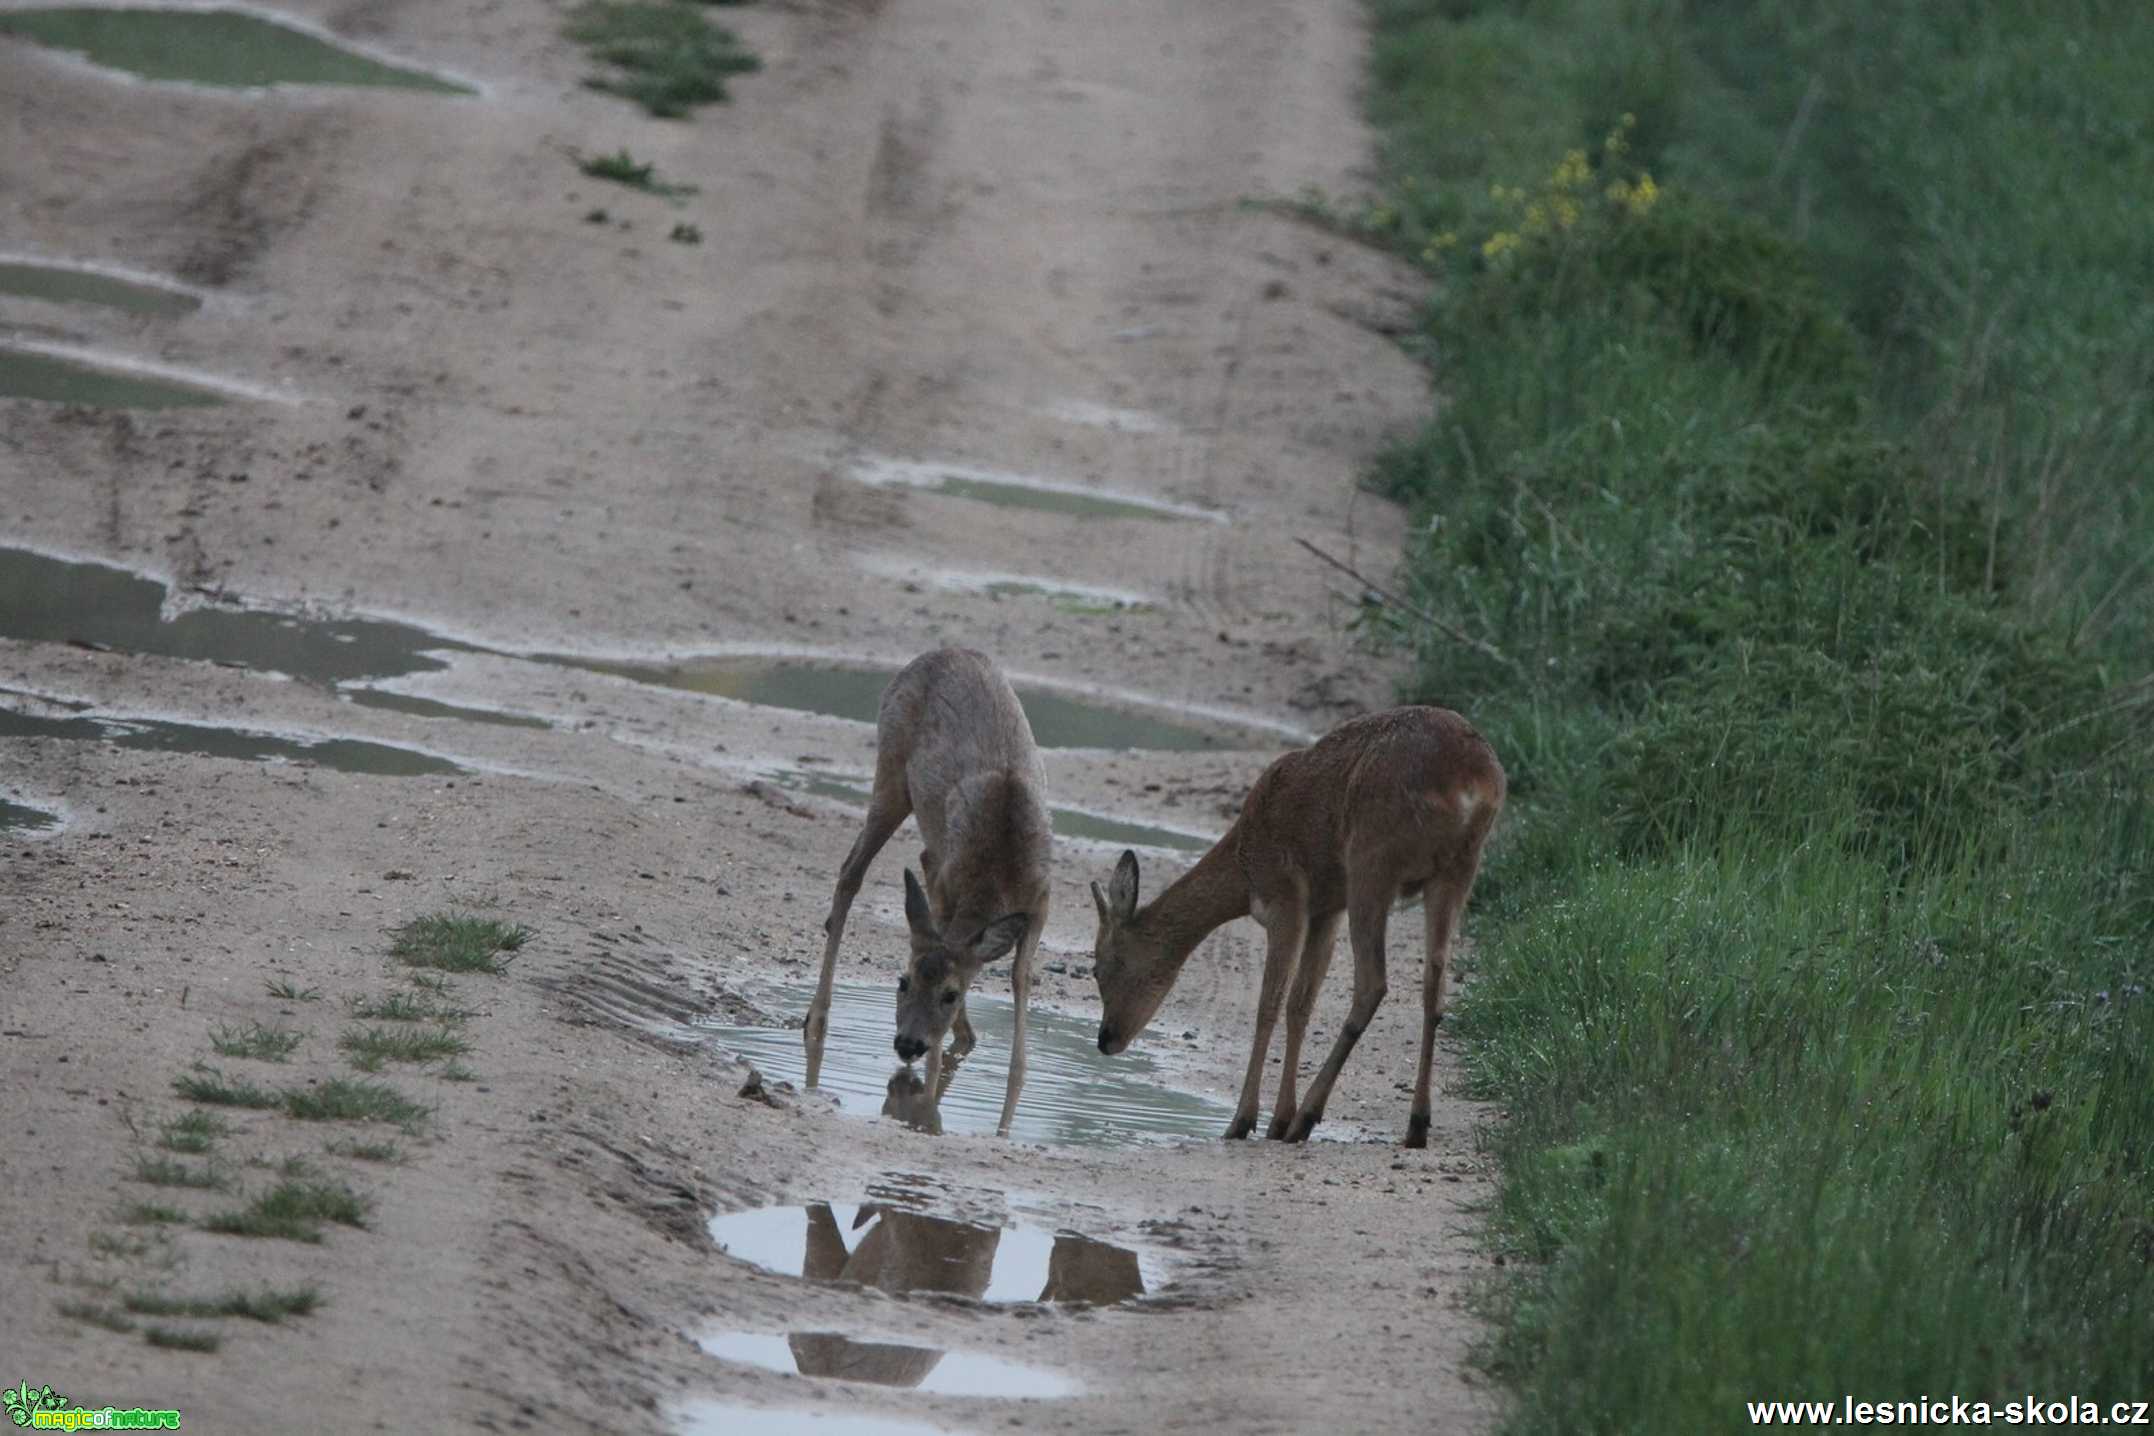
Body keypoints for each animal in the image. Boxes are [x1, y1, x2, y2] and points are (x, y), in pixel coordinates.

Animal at [801, 650, 1051, 1136]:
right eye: (902, 981)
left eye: (950, 994)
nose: (907, 1044)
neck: (999, 872)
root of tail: (940, 653)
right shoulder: (947, 885)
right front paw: (929, 1090)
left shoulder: (1042, 901)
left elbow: (1019, 976)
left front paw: (1011, 1078)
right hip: (891, 770)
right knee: (850, 872)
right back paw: (816, 1018)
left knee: (907, 861)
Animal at [1085, 706, 1507, 1145]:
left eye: (1099, 966)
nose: (1105, 1038)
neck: (1245, 872)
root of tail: (1472, 781)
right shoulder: (1325, 910)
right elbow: (1300, 1003)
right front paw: (1276, 1119)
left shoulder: (1285, 901)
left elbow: (1268, 1004)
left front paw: (1244, 1121)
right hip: (1457, 870)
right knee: (1434, 985)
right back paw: (1415, 1126)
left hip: (1373, 861)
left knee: (1373, 983)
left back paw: (1307, 1117)